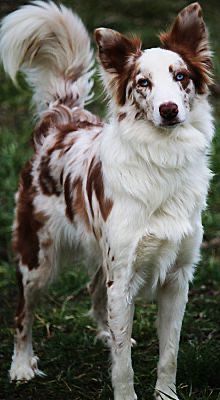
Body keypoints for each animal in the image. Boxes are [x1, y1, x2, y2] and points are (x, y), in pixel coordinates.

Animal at [0, 1, 213, 398]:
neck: (162, 159)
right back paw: (21, 365)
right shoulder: (124, 274)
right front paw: (126, 392)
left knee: (97, 290)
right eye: (143, 82)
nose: (169, 110)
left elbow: (169, 353)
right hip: (37, 256)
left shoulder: (177, 278)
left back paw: (105, 333)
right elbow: (124, 367)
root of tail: (63, 119)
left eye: (181, 77)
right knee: (23, 312)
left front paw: (165, 393)